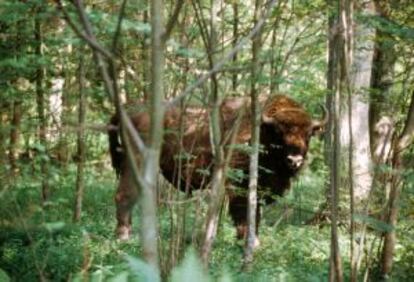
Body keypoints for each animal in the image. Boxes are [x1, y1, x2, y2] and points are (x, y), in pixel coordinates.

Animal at [109, 96, 326, 241]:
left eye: (309, 134)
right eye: (279, 132)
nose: (295, 160)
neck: (260, 131)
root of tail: (127, 110)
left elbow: (256, 212)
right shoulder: (240, 183)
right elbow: (243, 212)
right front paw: (247, 240)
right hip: (135, 162)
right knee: (124, 194)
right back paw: (123, 236)